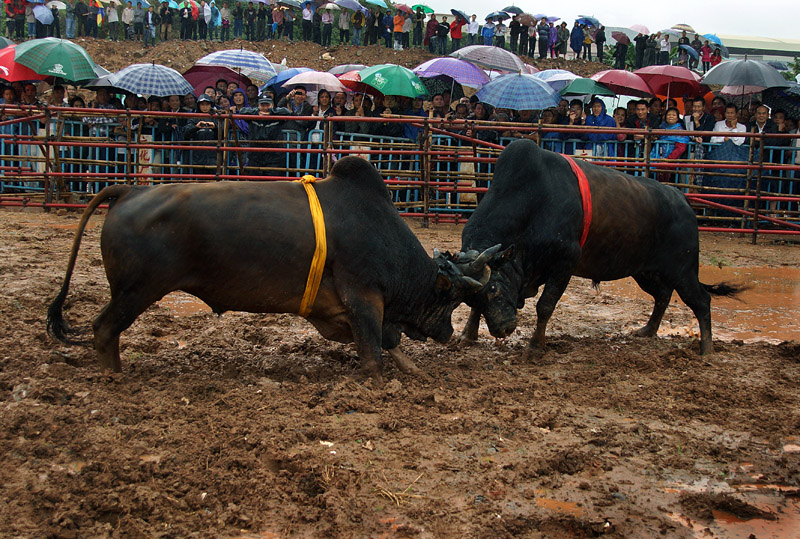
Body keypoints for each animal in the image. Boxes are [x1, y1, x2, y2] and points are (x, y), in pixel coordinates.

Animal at [45, 156, 500, 384]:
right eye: (449, 298)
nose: (447, 334)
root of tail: (129, 190)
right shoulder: (364, 295)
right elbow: (374, 352)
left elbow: (389, 344)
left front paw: (413, 368)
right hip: (135, 290)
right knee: (104, 329)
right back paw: (115, 379)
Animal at [456, 141, 744, 356]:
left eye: (495, 289)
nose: (503, 329)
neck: (531, 201)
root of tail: (683, 200)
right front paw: (467, 336)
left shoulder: (564, 265)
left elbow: (545, 306)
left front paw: (535, 347)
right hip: (646, 272)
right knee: (662, 295)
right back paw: (648, 331)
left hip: (683, 270)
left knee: (701, 301)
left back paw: (706, 349)